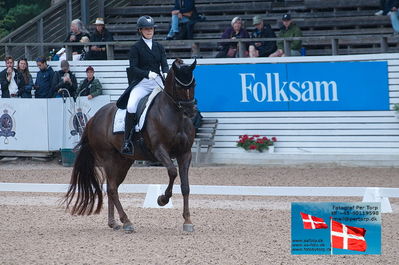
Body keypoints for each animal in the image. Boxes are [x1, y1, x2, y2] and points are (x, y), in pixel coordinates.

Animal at [63, 58, 198, 231]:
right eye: (179, 86)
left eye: (194, 84)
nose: (190, 111)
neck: (175, 116)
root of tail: (94, 118)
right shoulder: (159, 150)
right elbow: (173, 172)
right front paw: (162, 199)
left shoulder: (185, 153)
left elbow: (185, 186)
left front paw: (187, 221)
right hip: (108, 158)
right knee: (112, 188)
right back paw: (126, 222)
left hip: (124, 161)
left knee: (112, 187)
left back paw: (114, 222)